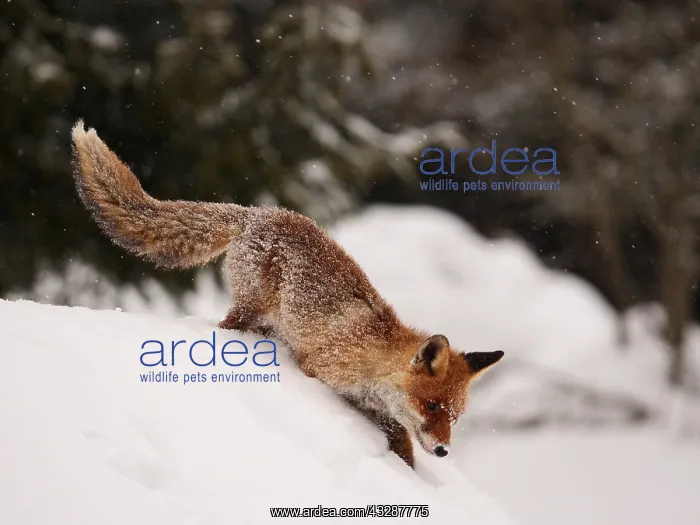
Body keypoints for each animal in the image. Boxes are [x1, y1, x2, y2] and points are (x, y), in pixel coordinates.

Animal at [70, 120, 504, 468]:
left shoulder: (374, 405)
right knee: (223, 329)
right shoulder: (318, 370)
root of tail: (257, 212)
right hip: (250, 310)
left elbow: (400, 439)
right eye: (431, 405)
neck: (372, 357)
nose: (445, 451)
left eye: (454, 417)